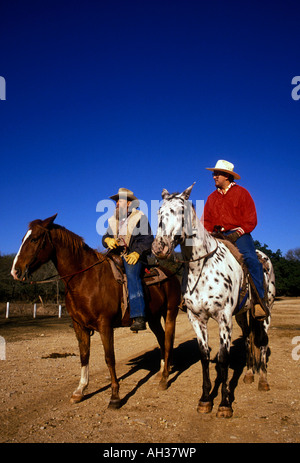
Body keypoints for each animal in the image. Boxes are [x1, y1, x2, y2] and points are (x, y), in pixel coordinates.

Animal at [10, 216, 180, 408]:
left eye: (34, 239)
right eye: (23, 239)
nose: (15, 271)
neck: (85, 278)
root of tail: (171, 275)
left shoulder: (105, 325)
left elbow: (109, 358)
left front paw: (115, 396)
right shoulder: (79, 326)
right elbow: (84, 356)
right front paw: (80, 390)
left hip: (170, 313)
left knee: (168, 341)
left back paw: (164, 379)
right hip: (153, 318)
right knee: (161, 338)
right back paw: (161, 371)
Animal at [152, 186, 276, 420]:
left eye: (181, 211)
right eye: (159, 212)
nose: (159, 247)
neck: (201, 267)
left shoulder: (224, 318)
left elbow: (223, 358)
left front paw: (225, 404)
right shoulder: (196, 318)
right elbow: (204, 356)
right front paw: (205, 400)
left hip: (265, 312)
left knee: (263, 342)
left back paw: (263, 381)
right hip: (242, 314)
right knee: (248, 338)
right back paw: (248, 374)